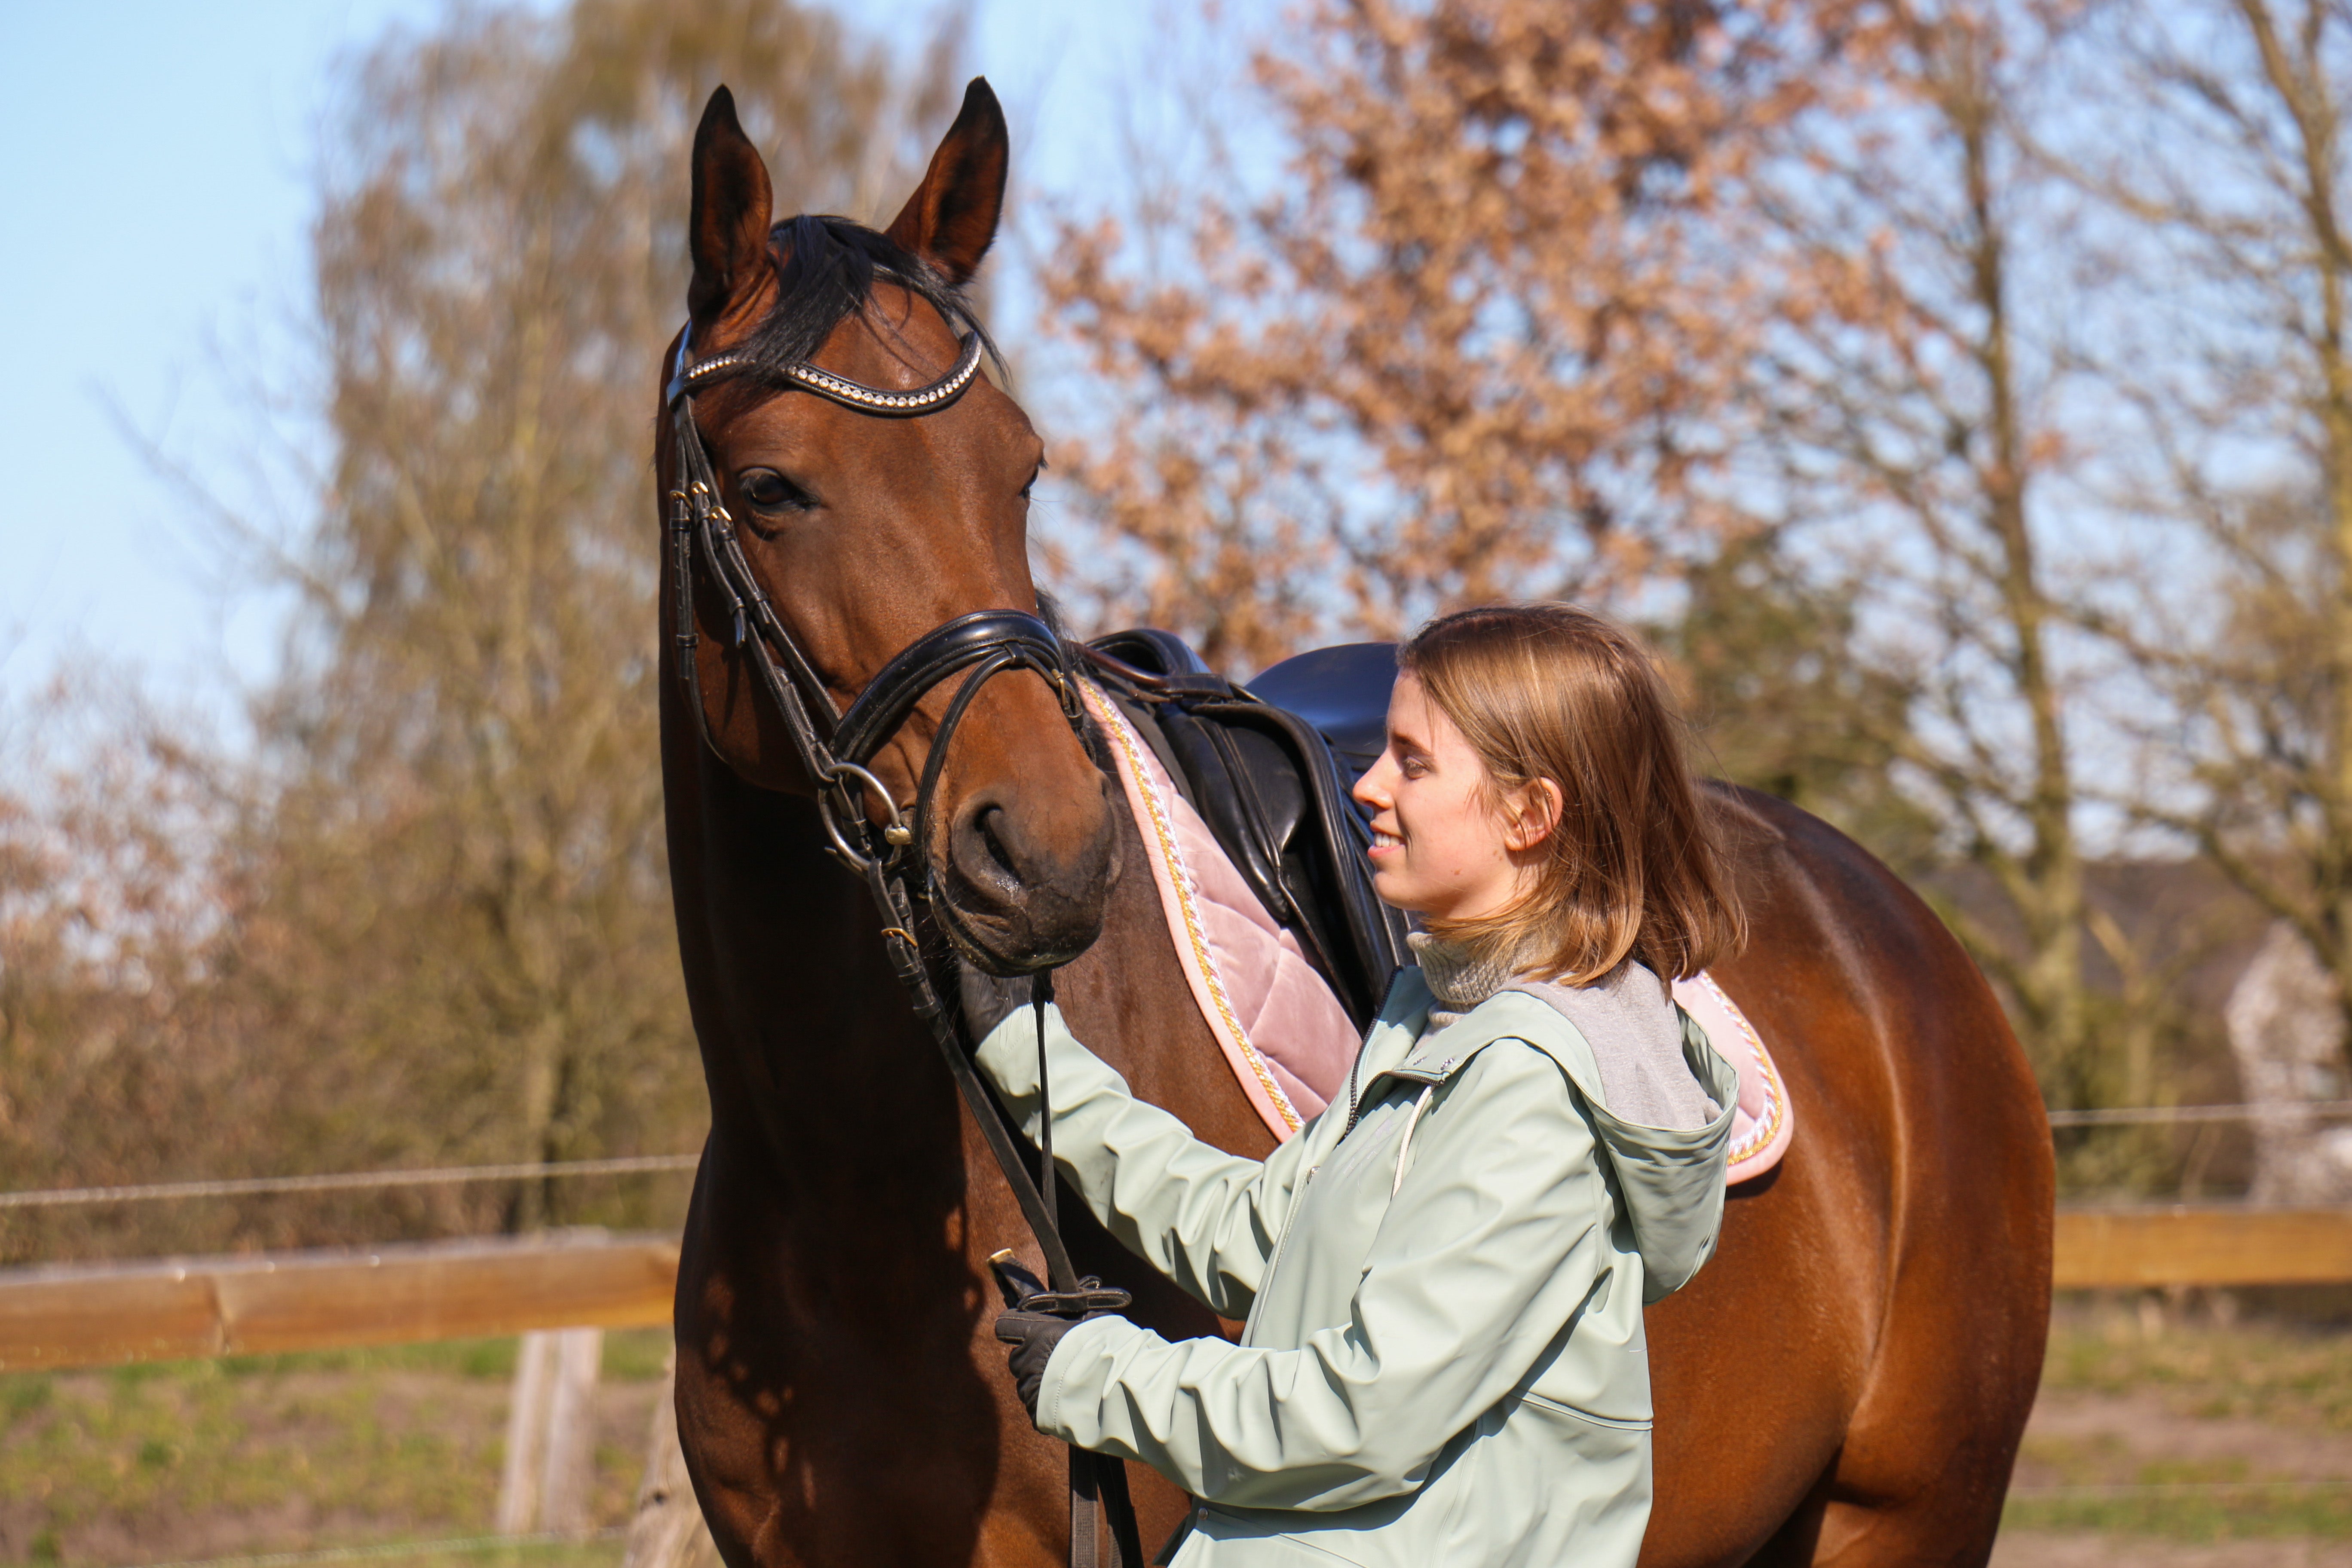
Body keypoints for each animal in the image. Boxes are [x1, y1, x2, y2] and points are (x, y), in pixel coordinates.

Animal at [657, 79, 2054, 1568]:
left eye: (1018, 470)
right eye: (771, 488)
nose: (1046, 856)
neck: (842, 1195)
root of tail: (1907, 940)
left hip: (1911, 1515)